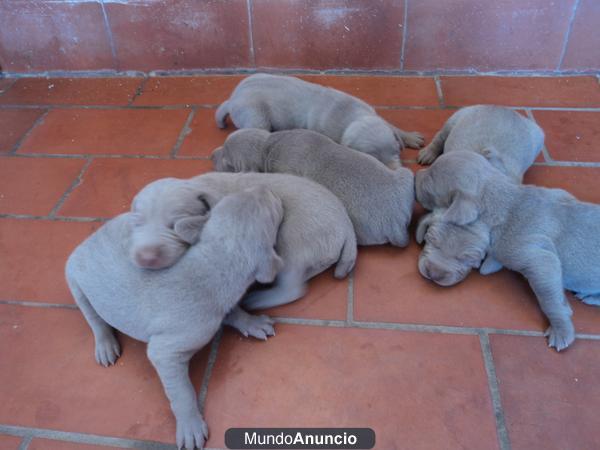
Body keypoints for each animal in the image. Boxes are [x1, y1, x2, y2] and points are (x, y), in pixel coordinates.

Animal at [67, 185, 288, 448]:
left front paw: (251, 322)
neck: (212, 262)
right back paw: (105, 344)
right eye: (272, 211)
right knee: (94, 319)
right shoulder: (166, 352)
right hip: (74, 281)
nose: (265, 187)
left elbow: (233, 311)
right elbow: (182, 393)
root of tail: (86, 241)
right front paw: (190, 424)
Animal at [130, 173, 356, 312]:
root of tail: (346, 223)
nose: (146, 258)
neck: (200, 188)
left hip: (294, 242)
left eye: (173, 224)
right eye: (137, 223)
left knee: (292, 287)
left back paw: (259, 300)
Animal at [213, 74, 424, 169]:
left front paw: (410, 137)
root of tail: (233, 99)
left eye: (396, 151)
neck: (352, 116)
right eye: (373, 159)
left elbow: (391, 125)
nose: (396, 172)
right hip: (256, 118)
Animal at [414, 151, 600, 352]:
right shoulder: (560, 193)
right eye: (430, 240)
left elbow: (550, 299)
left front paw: (562, 331)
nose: (416, 176)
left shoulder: (540, 259)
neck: (506, 203)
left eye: (429, 182)